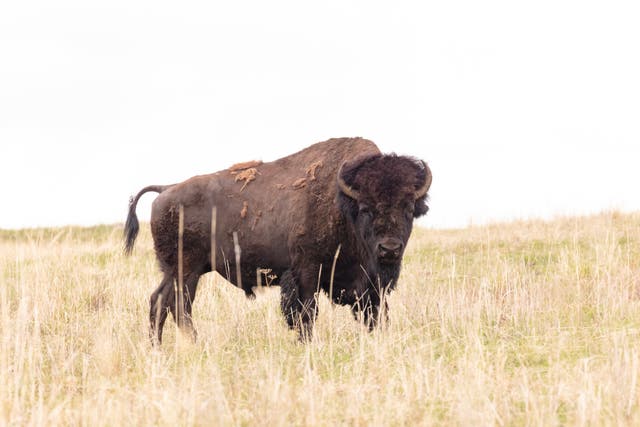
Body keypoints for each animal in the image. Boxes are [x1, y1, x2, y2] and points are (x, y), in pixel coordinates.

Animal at [124, 138, 436, 344]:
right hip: (185, 271)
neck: (343, 204)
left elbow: (376, 314)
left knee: (160, 302)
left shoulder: (371, 285)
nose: (389, 249)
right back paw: (192, 344)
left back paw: (159, 348)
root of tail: (166, 190)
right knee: (177, 306)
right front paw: (306, 344)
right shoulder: (306, 274)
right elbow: (306, 314)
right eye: (366, 208)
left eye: (409, 207)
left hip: (178, 271)